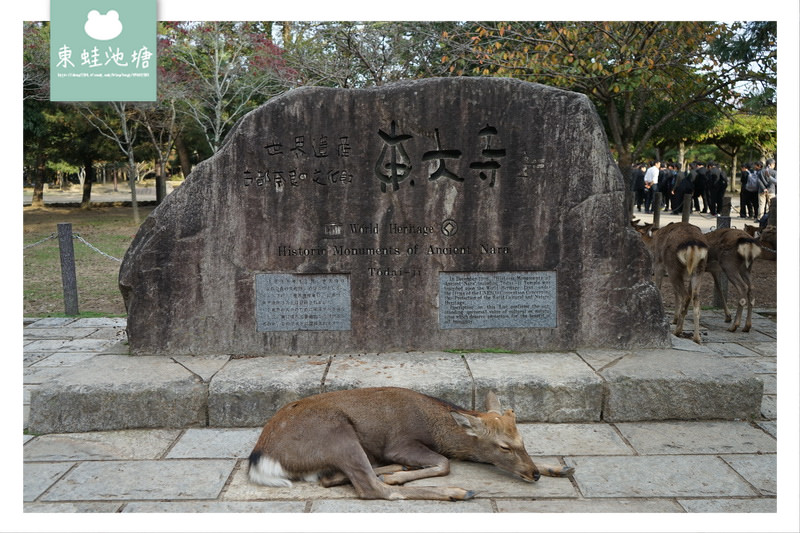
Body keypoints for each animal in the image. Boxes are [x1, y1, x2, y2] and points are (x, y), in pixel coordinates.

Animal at [247, 386, 572, 498]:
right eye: (504, 446)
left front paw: (559, 467)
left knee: (333, 477)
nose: (534, 474)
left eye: (522, 440)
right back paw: (456, 492)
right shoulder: (400, 442)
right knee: (370, 488)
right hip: (338, 433)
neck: (436, 431)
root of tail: (262, 458)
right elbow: (444, 462)